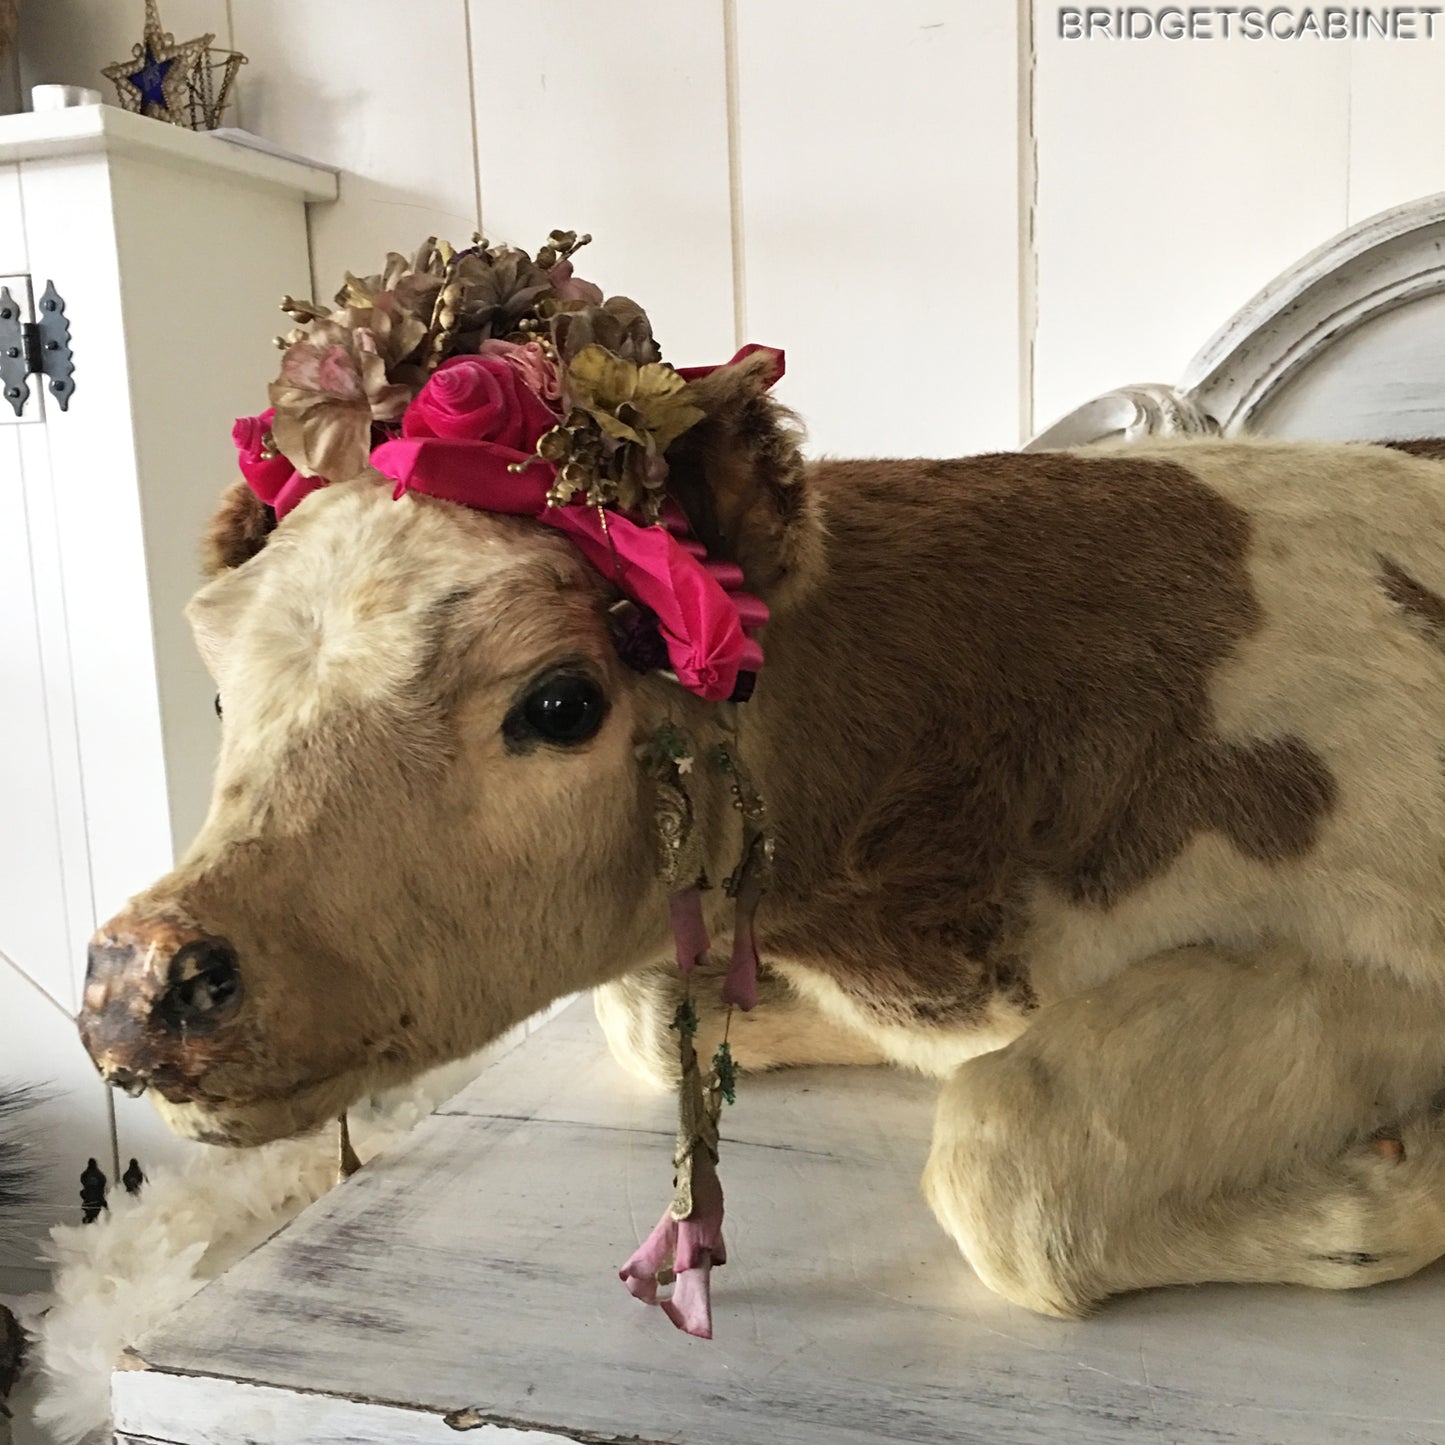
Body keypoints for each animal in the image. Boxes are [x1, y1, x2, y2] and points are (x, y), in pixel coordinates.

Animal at [75, 353, 1445, 1318]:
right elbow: (646, 1012)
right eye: (220, 693)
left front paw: (1402, 1180)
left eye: (560, 702)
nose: (146, 973)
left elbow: (1003, 1147)